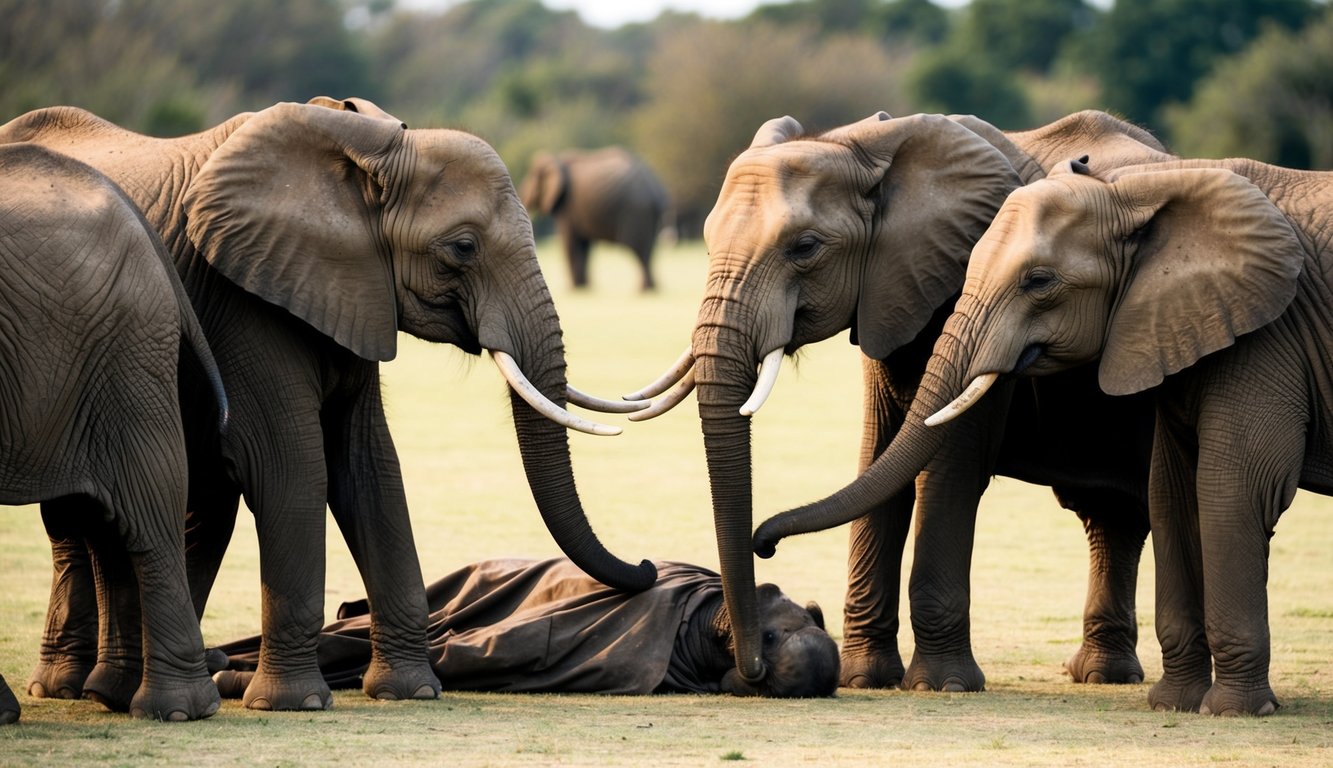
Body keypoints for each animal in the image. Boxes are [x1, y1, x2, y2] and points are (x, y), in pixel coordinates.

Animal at [518, 147, 669, 291]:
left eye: (530, 182)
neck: (557, 159)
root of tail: (657, 186)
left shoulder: (567, 206)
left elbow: (571, 244)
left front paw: (575, 290)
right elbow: (584, 246)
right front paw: (584, 288)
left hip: (636, 210)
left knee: (637, 249)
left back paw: (643, 290)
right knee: (648, 249)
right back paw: (650, 289)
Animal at [628, 110, 1172, 692]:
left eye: (805, 247)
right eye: (707, 244)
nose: (764, 542)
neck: (861, 146)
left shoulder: (974, 294)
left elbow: (947, 469)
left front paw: (942, 686)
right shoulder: (890, 293)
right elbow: (878, 454)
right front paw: (865, 679)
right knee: (1109, 515)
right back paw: (1101, 674)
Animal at [755, 156, 1332, 716]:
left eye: (1039, 281)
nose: (765, 545)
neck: (1141, 192)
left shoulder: (1267, 338)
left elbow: (1233, 491)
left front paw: (1235, 712)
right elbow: (1173, 494)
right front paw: (1177, 706)